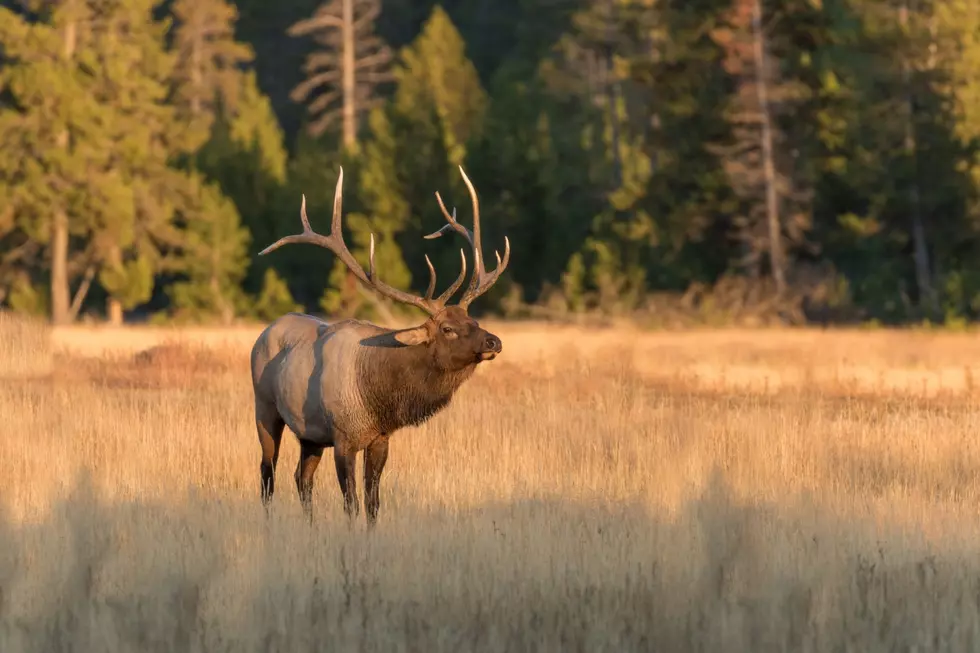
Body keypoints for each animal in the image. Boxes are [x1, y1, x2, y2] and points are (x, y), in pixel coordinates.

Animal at [249, 166, 510, 524]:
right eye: (447, 328)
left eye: (473, 320)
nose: (494, 340)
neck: (377, 398)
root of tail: (264, 332)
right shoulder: (343, 437)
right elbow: (352, 502)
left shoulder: (380, 439)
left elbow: (374, 503)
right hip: (265, 409)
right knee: (267, 474)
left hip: (309, 434)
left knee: (301, 478)